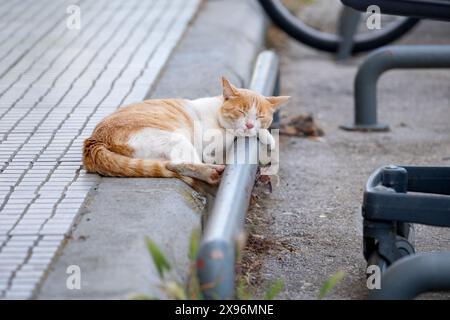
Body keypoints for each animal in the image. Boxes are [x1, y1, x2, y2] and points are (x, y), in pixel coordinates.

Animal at [83, 77, 290, 192]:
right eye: (241, 112)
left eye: (260, 116)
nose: (249, 124)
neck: (217, 111)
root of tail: (94, 140)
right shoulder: (209, 144)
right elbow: (233, 134)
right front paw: (264, 135)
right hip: (176, 139)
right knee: (179, 164)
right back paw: (211, 173)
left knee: (171, 165)